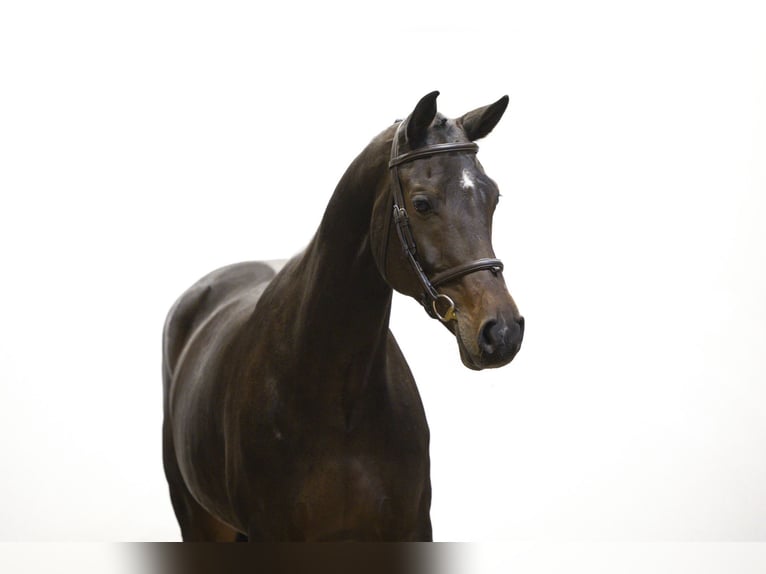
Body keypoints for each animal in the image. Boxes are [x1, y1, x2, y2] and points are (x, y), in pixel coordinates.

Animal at [162, 91, 524, 542]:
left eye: (493, 198)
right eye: (422, 203)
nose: (502, 331)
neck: (338, 399)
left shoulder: (411, 529)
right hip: (199, 520)